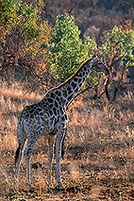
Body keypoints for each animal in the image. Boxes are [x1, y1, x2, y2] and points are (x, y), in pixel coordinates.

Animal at [14, 54, 109, 188]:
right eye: (99, 62)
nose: (108, 71)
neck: (65, 98)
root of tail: (22, 118)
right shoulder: (61, 129)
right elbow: (58, 155)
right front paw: (60, 182)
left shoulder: (51, 133)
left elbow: (50, 155)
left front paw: (50, 182)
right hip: (34, 133)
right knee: (28, 152)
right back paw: (29, 183)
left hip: (21, 134)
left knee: (20, 153)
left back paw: (15, 181)